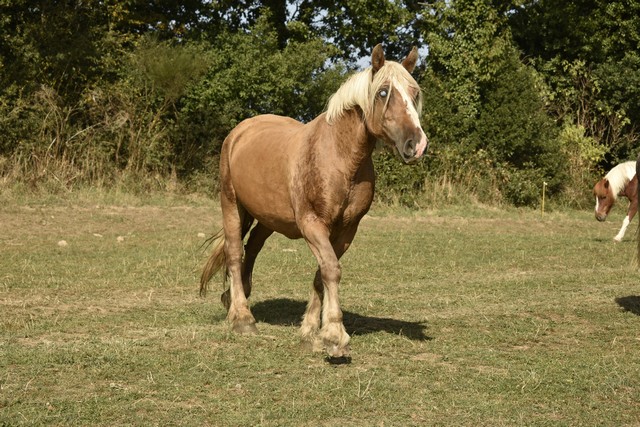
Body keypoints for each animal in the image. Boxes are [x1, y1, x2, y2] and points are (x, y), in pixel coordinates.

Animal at [200, 44, 430, 358]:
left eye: (414, 92)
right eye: (383, 92)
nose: (416, 144)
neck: (339, 157)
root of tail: (240, 131)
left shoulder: (346, 230)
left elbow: (322, 273)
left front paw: (310, 331)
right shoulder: (312, 224)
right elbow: (331, 269)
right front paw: (334, 335)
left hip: (269, 218)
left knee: (253, 248)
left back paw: (238, 297)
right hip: (231, 204)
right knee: (235, 253)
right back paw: (242, 317)